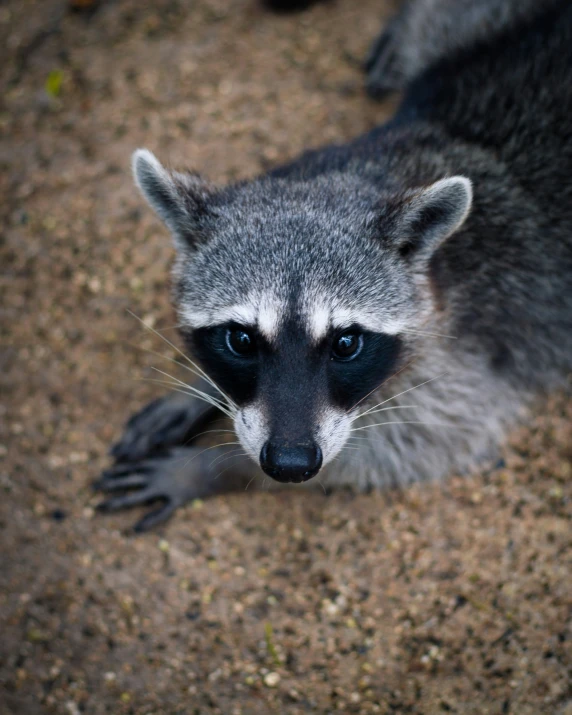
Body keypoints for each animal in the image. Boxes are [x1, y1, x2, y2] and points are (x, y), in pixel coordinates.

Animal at [96, 0, 572, 532]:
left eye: (346, 344)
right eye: (241, 340)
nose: (290, 464)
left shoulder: (478, 345)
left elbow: (422, 439)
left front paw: (212, 467)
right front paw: (201, 388)